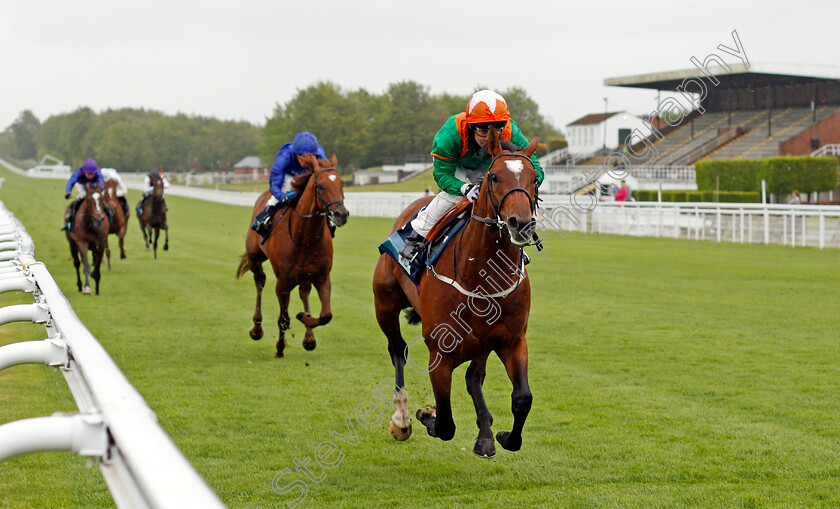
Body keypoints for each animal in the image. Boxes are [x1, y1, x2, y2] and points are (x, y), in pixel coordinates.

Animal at [236, 155, 352, 358]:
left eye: (342, 183)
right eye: (321, 186)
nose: (341, 214)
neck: (304, 236)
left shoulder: (322, 276)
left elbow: (326, 315)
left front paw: (305, 319)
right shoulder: (283, 282)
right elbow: (284, 318)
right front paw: (279, 348)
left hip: (305, 275)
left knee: (304, 292)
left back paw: (309, 336)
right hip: (254, 257)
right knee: (260, 281)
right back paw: (257, 328)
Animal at [372, 129, 540, 458]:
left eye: (534, 178)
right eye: (494, 177)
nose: (521, 224)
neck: (482, 274)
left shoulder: (512, 340)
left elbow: (522, 398)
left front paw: (503, 436)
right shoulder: (440, 353)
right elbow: (446, 423)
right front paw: (425, 415)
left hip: (483, 340)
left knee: (474, 377)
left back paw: (485, 434)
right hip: (384, 305)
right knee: (397, 350)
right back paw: (402, 418)